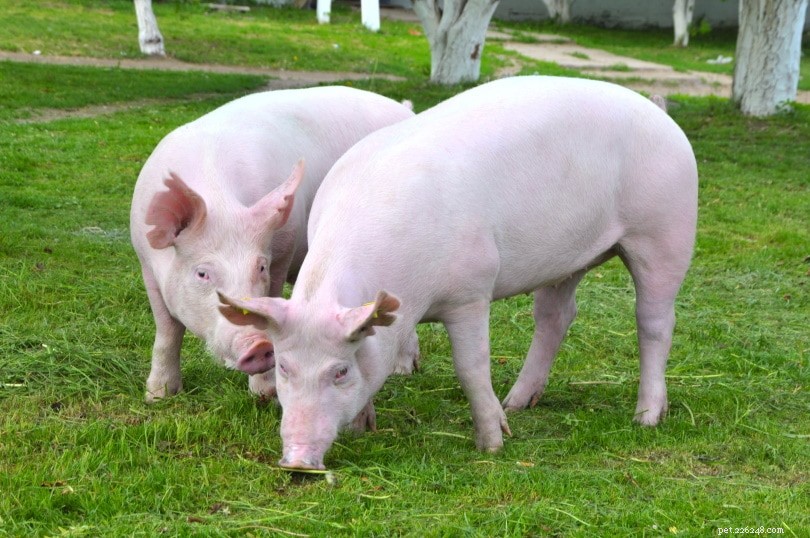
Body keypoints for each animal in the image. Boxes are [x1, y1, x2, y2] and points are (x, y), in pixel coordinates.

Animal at [130, 86, 415, 402]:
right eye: (202, 273)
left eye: (261, 267)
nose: (258, 345)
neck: (221, 204)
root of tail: (403, 109)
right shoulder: (146, 265)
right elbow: (167, 330)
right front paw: (158, 396)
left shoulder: (282, 250)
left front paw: (265, 394)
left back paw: (404, 371)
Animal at [219, 75, 698, 470]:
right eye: (284, 366)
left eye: (339, 371)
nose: (298, 461)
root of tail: (660, 112)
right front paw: (363, 427)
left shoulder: (471, 291)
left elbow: (471, 366)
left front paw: (494, 445)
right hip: (570, 258)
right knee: (556, 316)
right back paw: (520, 402)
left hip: (665, 230)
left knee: (655, 320)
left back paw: (646, 418)